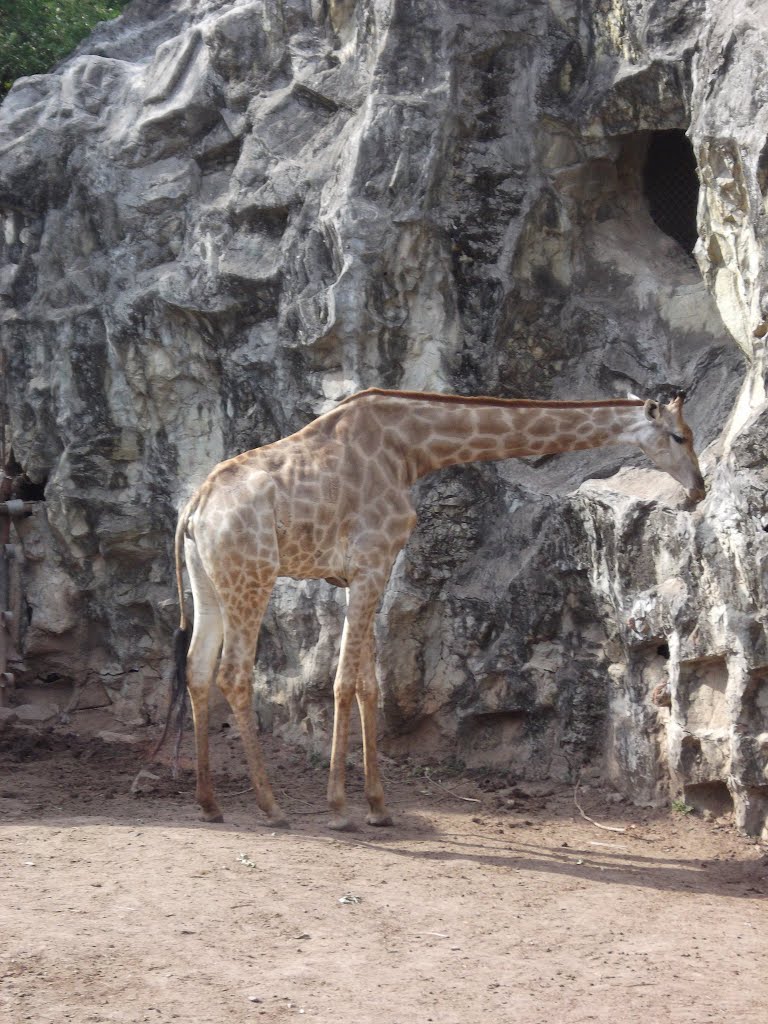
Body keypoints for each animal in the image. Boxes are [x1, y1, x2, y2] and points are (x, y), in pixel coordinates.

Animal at [159, 387, 708, 827]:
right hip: (251, 576)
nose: (699, 488)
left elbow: (368, 685)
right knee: (233, 674)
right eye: (680, 436)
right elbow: (343, 683)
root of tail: (195, 507)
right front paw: (339, 809)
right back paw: (271, 807)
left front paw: (379, 807)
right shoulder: (371, 564)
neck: (411, 448)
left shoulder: (358, 576)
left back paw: (210, 804)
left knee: (198, 668)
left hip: (210, 581)